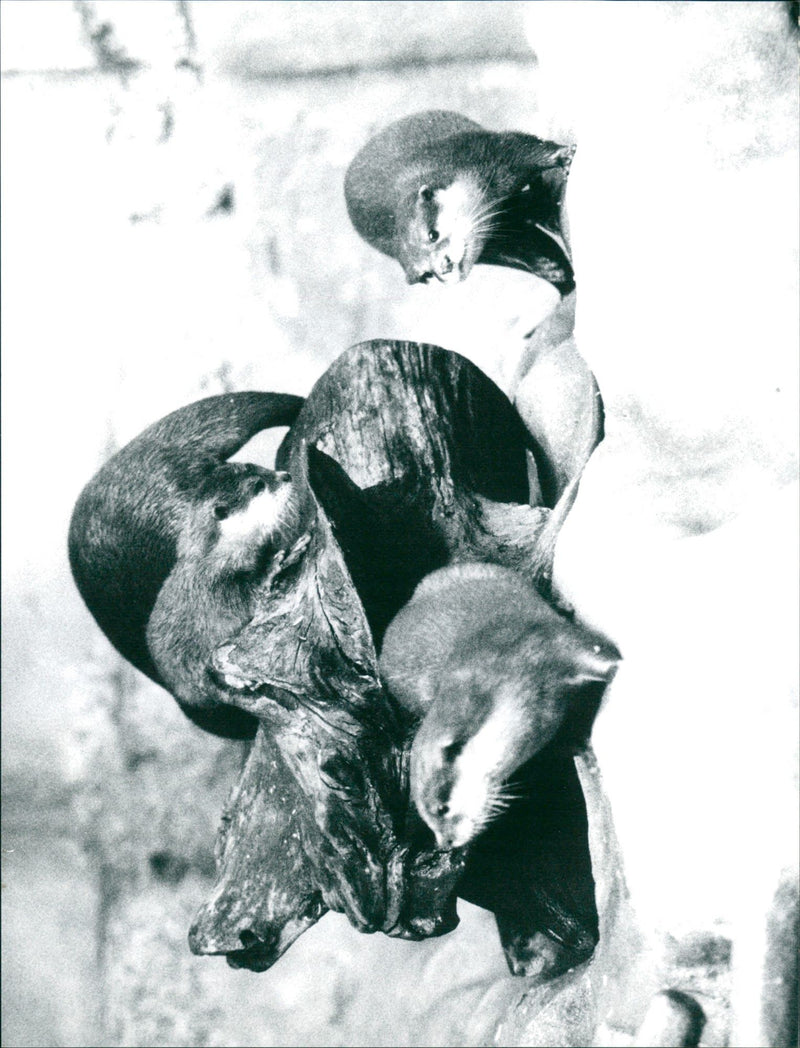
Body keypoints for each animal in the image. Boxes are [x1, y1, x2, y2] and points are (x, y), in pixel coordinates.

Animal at [345, 110, 575, 292]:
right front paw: (547, 266)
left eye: (432, 234)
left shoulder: (481, 151)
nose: (443, 267)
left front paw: (564, 155)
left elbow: (525, 147)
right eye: (427, 274)